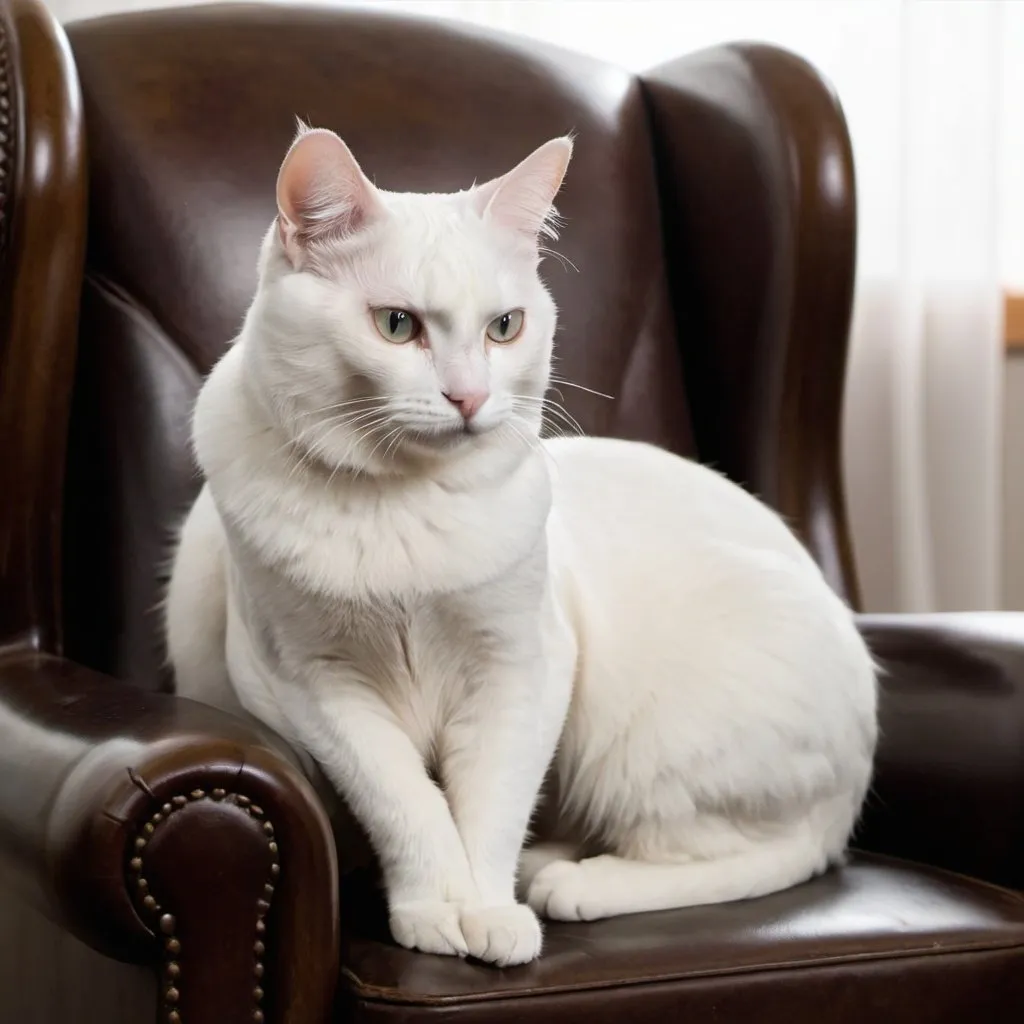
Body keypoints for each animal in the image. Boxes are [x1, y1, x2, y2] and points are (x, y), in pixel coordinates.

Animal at [163, 128, 876, 966]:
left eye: (504, 327)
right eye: (397, 325)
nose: (470, 396)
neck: (402, 509)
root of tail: (850, 795)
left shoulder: (522, 670)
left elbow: (491, 802)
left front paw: (489, 913)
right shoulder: (310, 686)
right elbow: (406, 802)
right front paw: (437, 908)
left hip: (645, 740)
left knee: (728, 855)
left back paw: (567, 880)